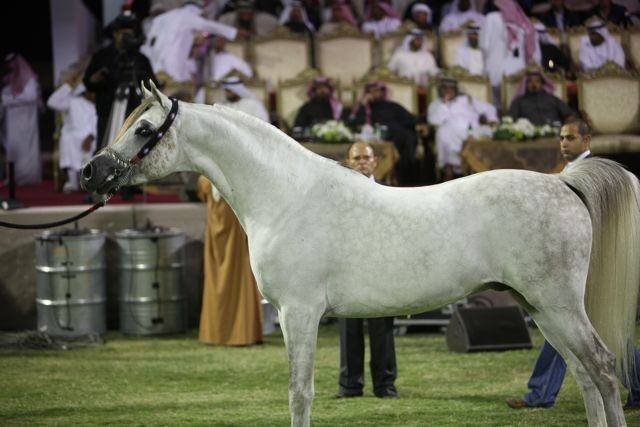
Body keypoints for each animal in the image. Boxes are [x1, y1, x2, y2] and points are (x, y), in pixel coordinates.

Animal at [81, 81, 640, 427]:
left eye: (144, 129)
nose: (90, 172)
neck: (286, 195)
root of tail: (564, 183)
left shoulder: (300, 314)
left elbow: (299, 392)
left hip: (558, 305)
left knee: (601, 367)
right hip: (539, 308)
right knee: (584, 375)